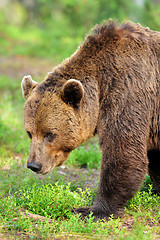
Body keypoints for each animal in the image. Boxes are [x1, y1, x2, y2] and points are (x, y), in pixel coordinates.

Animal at [21, 19, 160, 220]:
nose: (34, 164)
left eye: (49, 133)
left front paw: (92, 210)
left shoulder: (129, 92)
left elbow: (123, 151)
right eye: (29, 133)